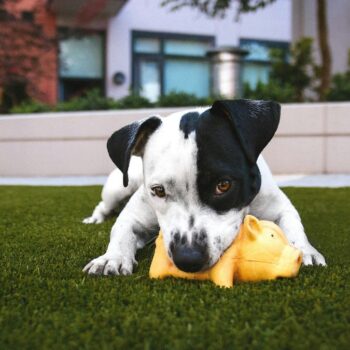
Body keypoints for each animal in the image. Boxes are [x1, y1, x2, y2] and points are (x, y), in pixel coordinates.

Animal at [82, 99, 326, 276]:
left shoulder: (279, 206)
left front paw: (305, 250)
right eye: (158, 190)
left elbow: (294, 226)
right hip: (118, 187)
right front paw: (111, 258)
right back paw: (95, 219)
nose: (188, 258)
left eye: (224, 185)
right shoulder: (135, 215)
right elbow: (121, 231)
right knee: (103, 205)